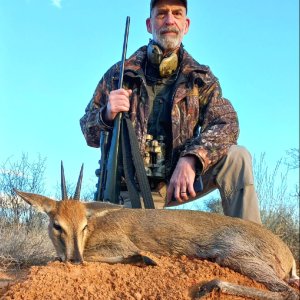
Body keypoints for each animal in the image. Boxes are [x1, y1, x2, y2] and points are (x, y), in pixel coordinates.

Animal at [14, 164, 300, 300]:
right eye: (57, 225)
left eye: (84, 224)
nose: (74, 259)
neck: (94, 229)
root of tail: (288, 255)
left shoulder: (118, 246)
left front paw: (146, 259)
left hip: (234, 257)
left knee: (288, 292)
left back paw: (207, 287)